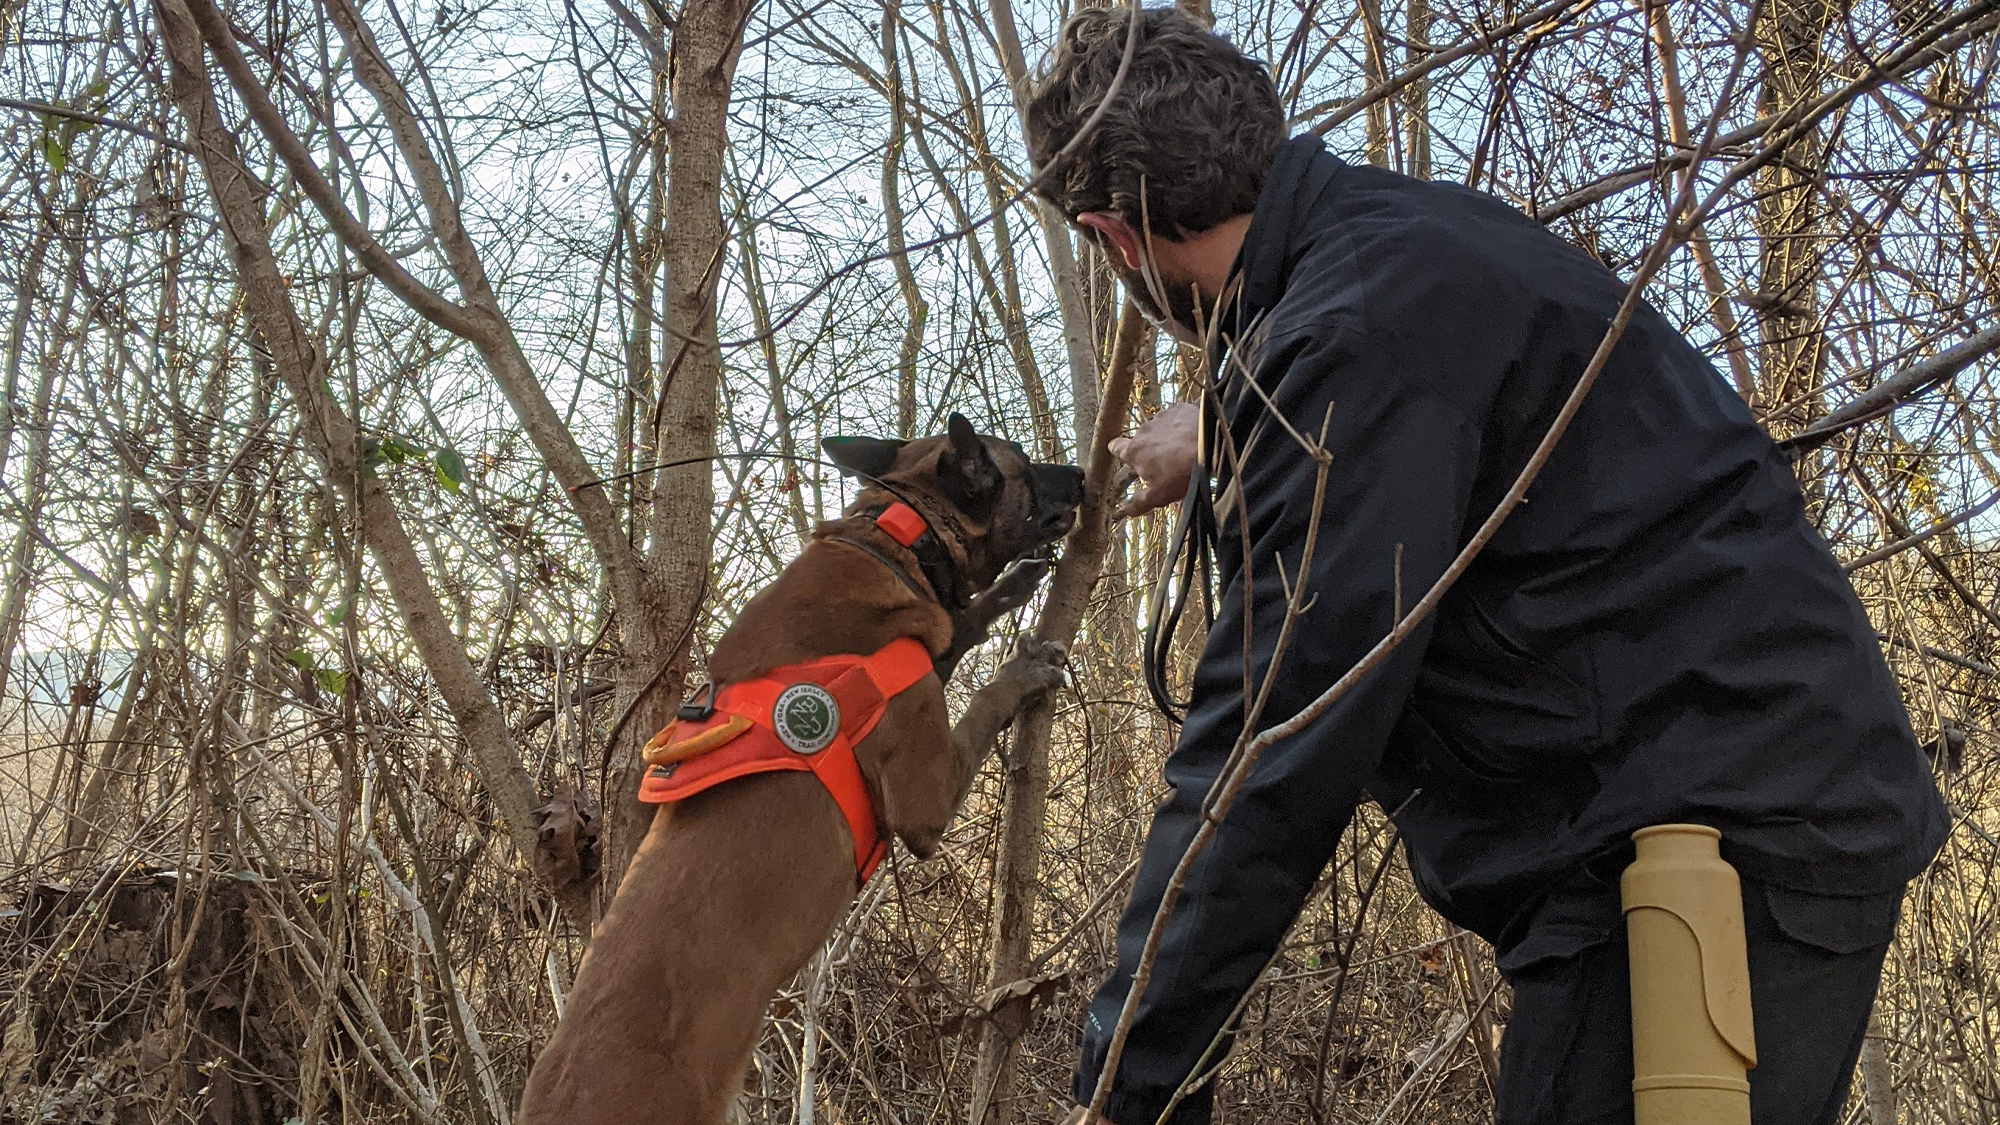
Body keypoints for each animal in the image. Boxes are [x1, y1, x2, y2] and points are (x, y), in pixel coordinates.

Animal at [516, 414, 1080, 1120]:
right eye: (1025, 469)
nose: (1083, 473)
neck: (894, 536)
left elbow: (960, 624)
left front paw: (1005, 592)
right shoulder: (924, 797)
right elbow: (981, 703)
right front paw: (1022, 671)